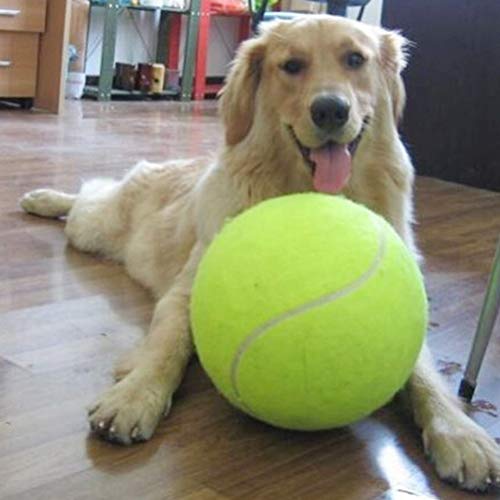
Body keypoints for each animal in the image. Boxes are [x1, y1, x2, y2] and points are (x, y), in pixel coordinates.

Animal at [20, 16, 500, 492]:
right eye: (291, 66)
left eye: (354, 60)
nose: (330, 110)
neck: (312, 194)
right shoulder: (185, 294)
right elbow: (167, 346)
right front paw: (136, 395)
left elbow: (425, 377)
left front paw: (463, 434)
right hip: (94, 226)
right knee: (87, 194)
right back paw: (42, 198)